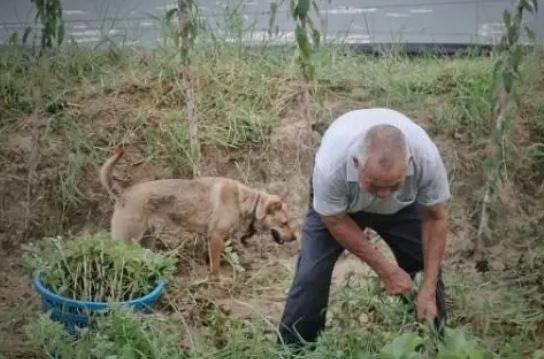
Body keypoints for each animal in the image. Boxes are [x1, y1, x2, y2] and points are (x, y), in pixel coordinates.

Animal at [100, 148, 300, 280]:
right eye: (284, 223)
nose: (294, 238)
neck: (245, 200)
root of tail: (123, 193)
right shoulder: (216, 236)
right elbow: (216, 266)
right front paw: (218, 281)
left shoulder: (218, 237)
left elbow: (228, 256)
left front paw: (238, 269)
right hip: (126, 241)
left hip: (147, 238)